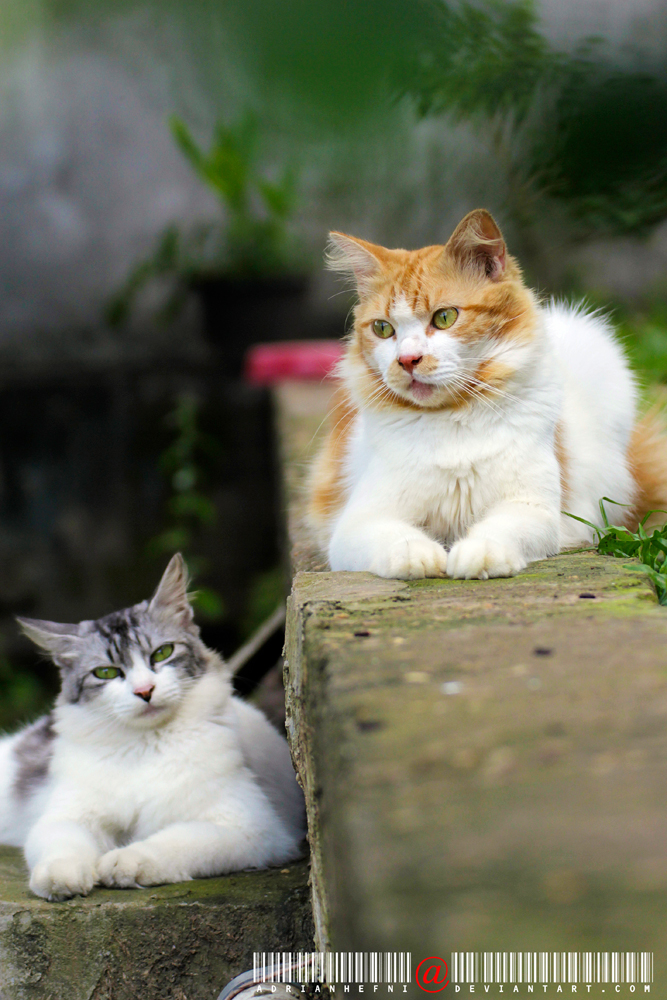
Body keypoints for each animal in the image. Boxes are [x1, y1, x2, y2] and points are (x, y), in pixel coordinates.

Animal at [0, 552, 306, 904]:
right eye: (106, 672)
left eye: (162, 653)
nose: (144, 691)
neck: (147, 743)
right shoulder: (66, 814)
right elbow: (62, 843)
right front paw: (61, 877)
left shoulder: (251, 826)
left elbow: (174, 841)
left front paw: (125, 861)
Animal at [306, 211, 667, 584]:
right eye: (382, 329)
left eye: (444, 317)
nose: (406, 360)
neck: (453, 419)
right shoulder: (358, 521)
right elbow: (396, 538)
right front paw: (417, 556)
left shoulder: (531, 508)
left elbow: (499, 530)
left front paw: (478, 554)